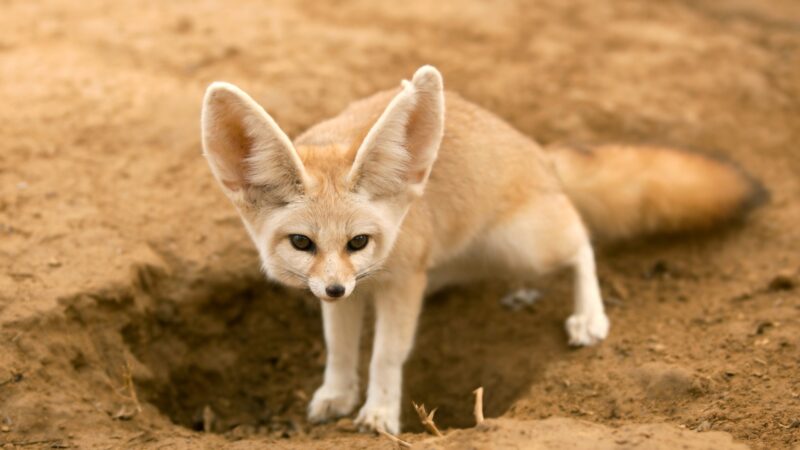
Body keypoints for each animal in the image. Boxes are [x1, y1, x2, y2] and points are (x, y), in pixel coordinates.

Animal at [200, 65, 764, 434]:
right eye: (302, 242)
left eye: (359, 241)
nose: (336, 287)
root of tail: (540, 153)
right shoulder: (351, 292)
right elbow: (339, 348)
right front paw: (337, 395)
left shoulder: (402, 282)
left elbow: (386, 354)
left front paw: (380, 412)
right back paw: (522, 292)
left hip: (525, 242)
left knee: (581, 240)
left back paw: (589, 316)